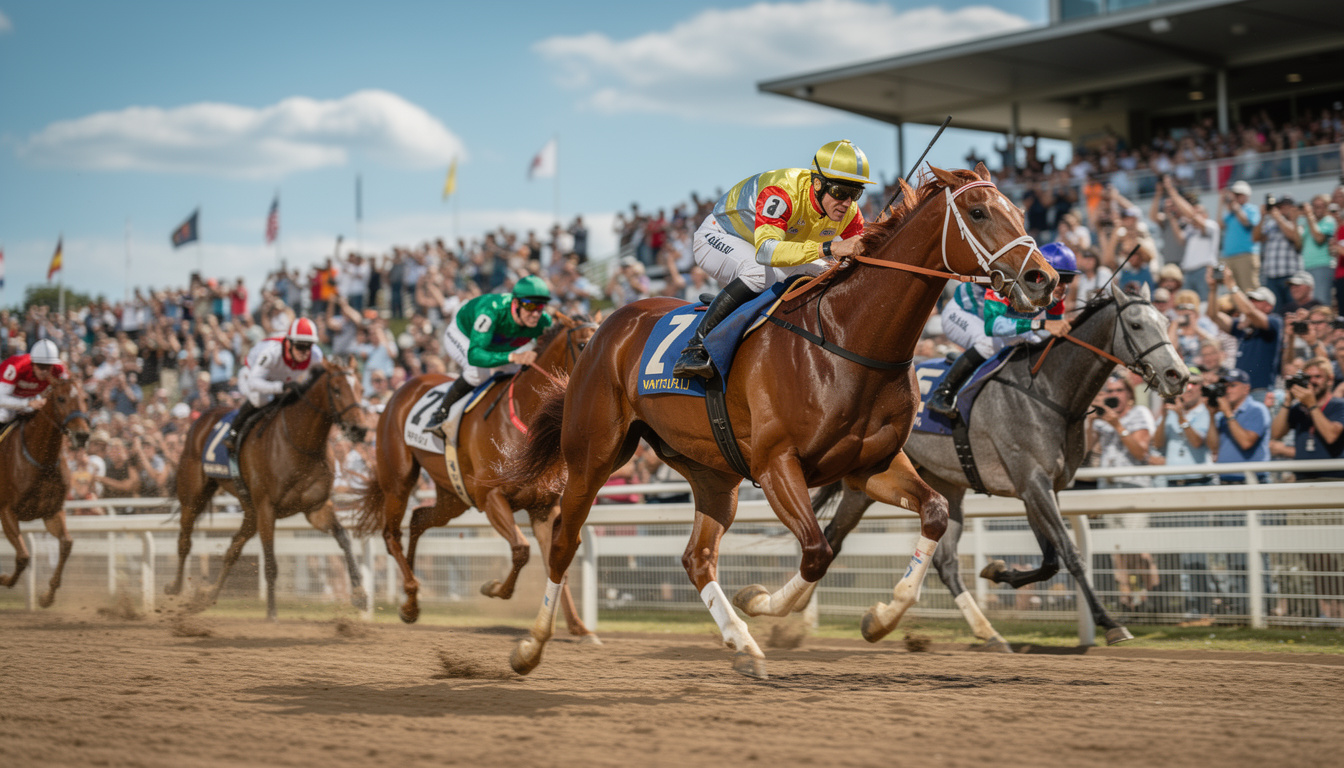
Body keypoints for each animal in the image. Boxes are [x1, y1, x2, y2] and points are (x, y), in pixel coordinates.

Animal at [0, 378, 92, 607]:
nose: (82, 435)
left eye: (85, 398)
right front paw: (4, 579)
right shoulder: (6, 511)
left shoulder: (52, 511)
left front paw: (47, 596)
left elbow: (66, 543)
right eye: (60, 398)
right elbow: (23, 556)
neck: (41, 460)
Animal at [165, 358, 371, 619]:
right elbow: (271, 563)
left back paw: (207, 597)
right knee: (185, 541)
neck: (301, 444)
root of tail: (204, 416)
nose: (360, 429)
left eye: (361, 389)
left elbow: (344, 538)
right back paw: (175, 588)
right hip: (194, 496)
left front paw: (360, 595)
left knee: (233, 548)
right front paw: (272, 614)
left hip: (249, 510)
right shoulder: (266, 508)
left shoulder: (315, 508)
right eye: (336, 389)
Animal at [354, 312, 599, 637]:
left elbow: (555, 562)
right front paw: (493, 588)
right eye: (583, 343)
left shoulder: (544, 507)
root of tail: (401, 391)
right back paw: (410, 596)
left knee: (418, 519)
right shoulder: (491, 496)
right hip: (398, 480)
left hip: (453, 497)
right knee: (391, 533)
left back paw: (411, 601)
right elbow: (521, 550)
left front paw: (578, 627)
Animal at [499, 165, 1060, 678]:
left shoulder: (870, 465)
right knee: (564, 542)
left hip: (712, 470)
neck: (847, 340)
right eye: (978, 212)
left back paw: (741, 643)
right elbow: (816, 550)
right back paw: (532, 646)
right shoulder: (776, 465)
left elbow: (935, 514)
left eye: (1018, 208)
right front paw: (761, 601)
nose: (1045, 279)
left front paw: (880, 617)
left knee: (697, 557)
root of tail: (605, 325)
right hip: (593, 453)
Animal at [809, 282, 1188, 648]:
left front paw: (995, 571)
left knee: (947, 564)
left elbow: (1050, 561)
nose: (1178, 376)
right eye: (1136, 325)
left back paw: (976, 631)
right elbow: (1070, 553)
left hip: (946, 483)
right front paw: (1110, 623)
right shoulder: (1032, 482)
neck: (1049, 391)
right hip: (869, 481)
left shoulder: (1040, 488)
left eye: (1166, 322)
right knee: (833, 536)